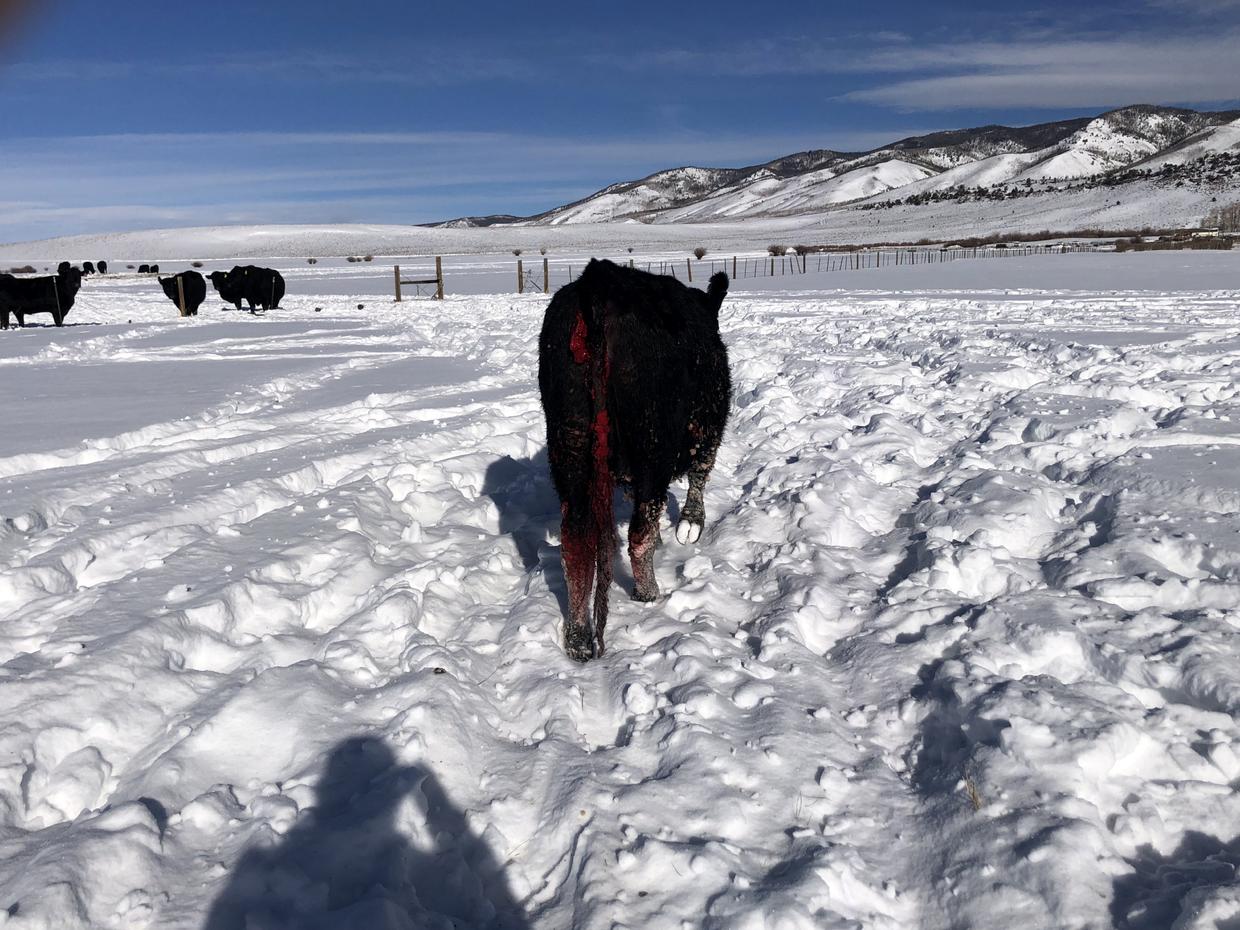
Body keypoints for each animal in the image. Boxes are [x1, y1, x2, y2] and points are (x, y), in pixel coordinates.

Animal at [538, 256, 729, 664]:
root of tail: (600, 279)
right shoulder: (708, 419)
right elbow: (701, 471)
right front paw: (690, 525)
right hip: (652, 442)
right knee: (639, 532)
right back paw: (650, 595)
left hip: (569, 438)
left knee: (575, 540)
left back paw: (578, 640)